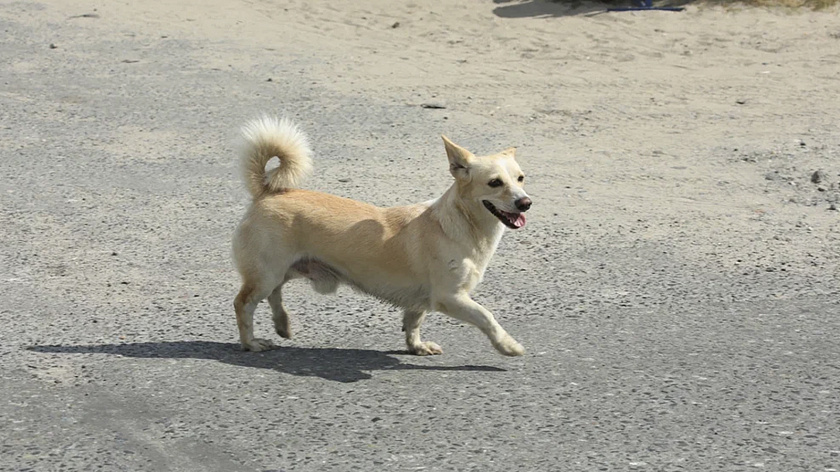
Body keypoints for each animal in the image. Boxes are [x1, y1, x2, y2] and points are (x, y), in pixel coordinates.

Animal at [230, 116, 532, 356]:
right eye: (494, 183)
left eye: (520, 178)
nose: (526, 202)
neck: (462, 224)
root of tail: (266, 192)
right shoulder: (450, 297)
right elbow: (486, 316)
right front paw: (508, 345)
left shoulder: (421, 300)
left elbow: (413, 322)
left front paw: (416, 347)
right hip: (266, 273)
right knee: (244, 304)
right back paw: (251, 343)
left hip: (279, 271)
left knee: (274, 294)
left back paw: (282, 324)